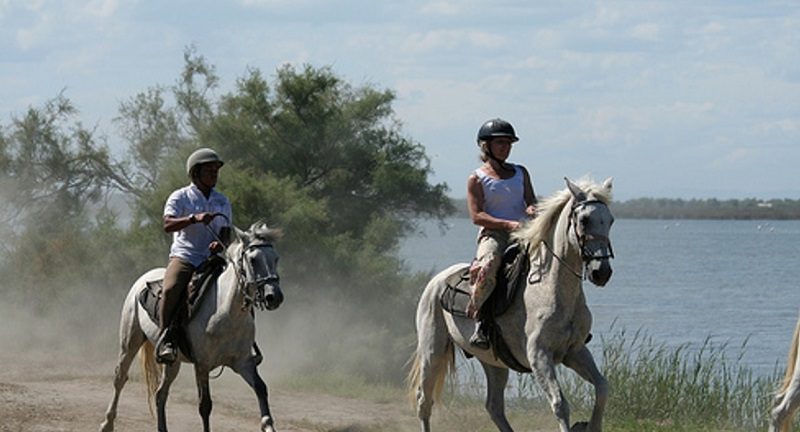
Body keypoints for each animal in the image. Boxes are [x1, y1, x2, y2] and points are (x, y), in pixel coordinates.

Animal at [99, 221, 282, 430]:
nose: (274, 296)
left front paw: (268, 424)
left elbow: (261, 388)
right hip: (130, 342)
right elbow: (205, 406)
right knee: (120, 378)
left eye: (275, 258)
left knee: (160, 394)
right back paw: (106, 423)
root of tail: (144, 278)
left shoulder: (243, 363)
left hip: (172, 362)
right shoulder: (202, 364)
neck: (226, 312)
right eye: (253, 260)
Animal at [410, 177, 616, 430]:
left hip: (493, 363)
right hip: (432, 350)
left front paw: (591, 425)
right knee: (424, 401)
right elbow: (560, 404)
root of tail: (437, 280)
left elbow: (602, 388)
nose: (601, 272)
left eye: (610, 220)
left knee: (494, 407)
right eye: (584, 220)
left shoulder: (575, 352)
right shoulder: (539, 357)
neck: (551, 289)